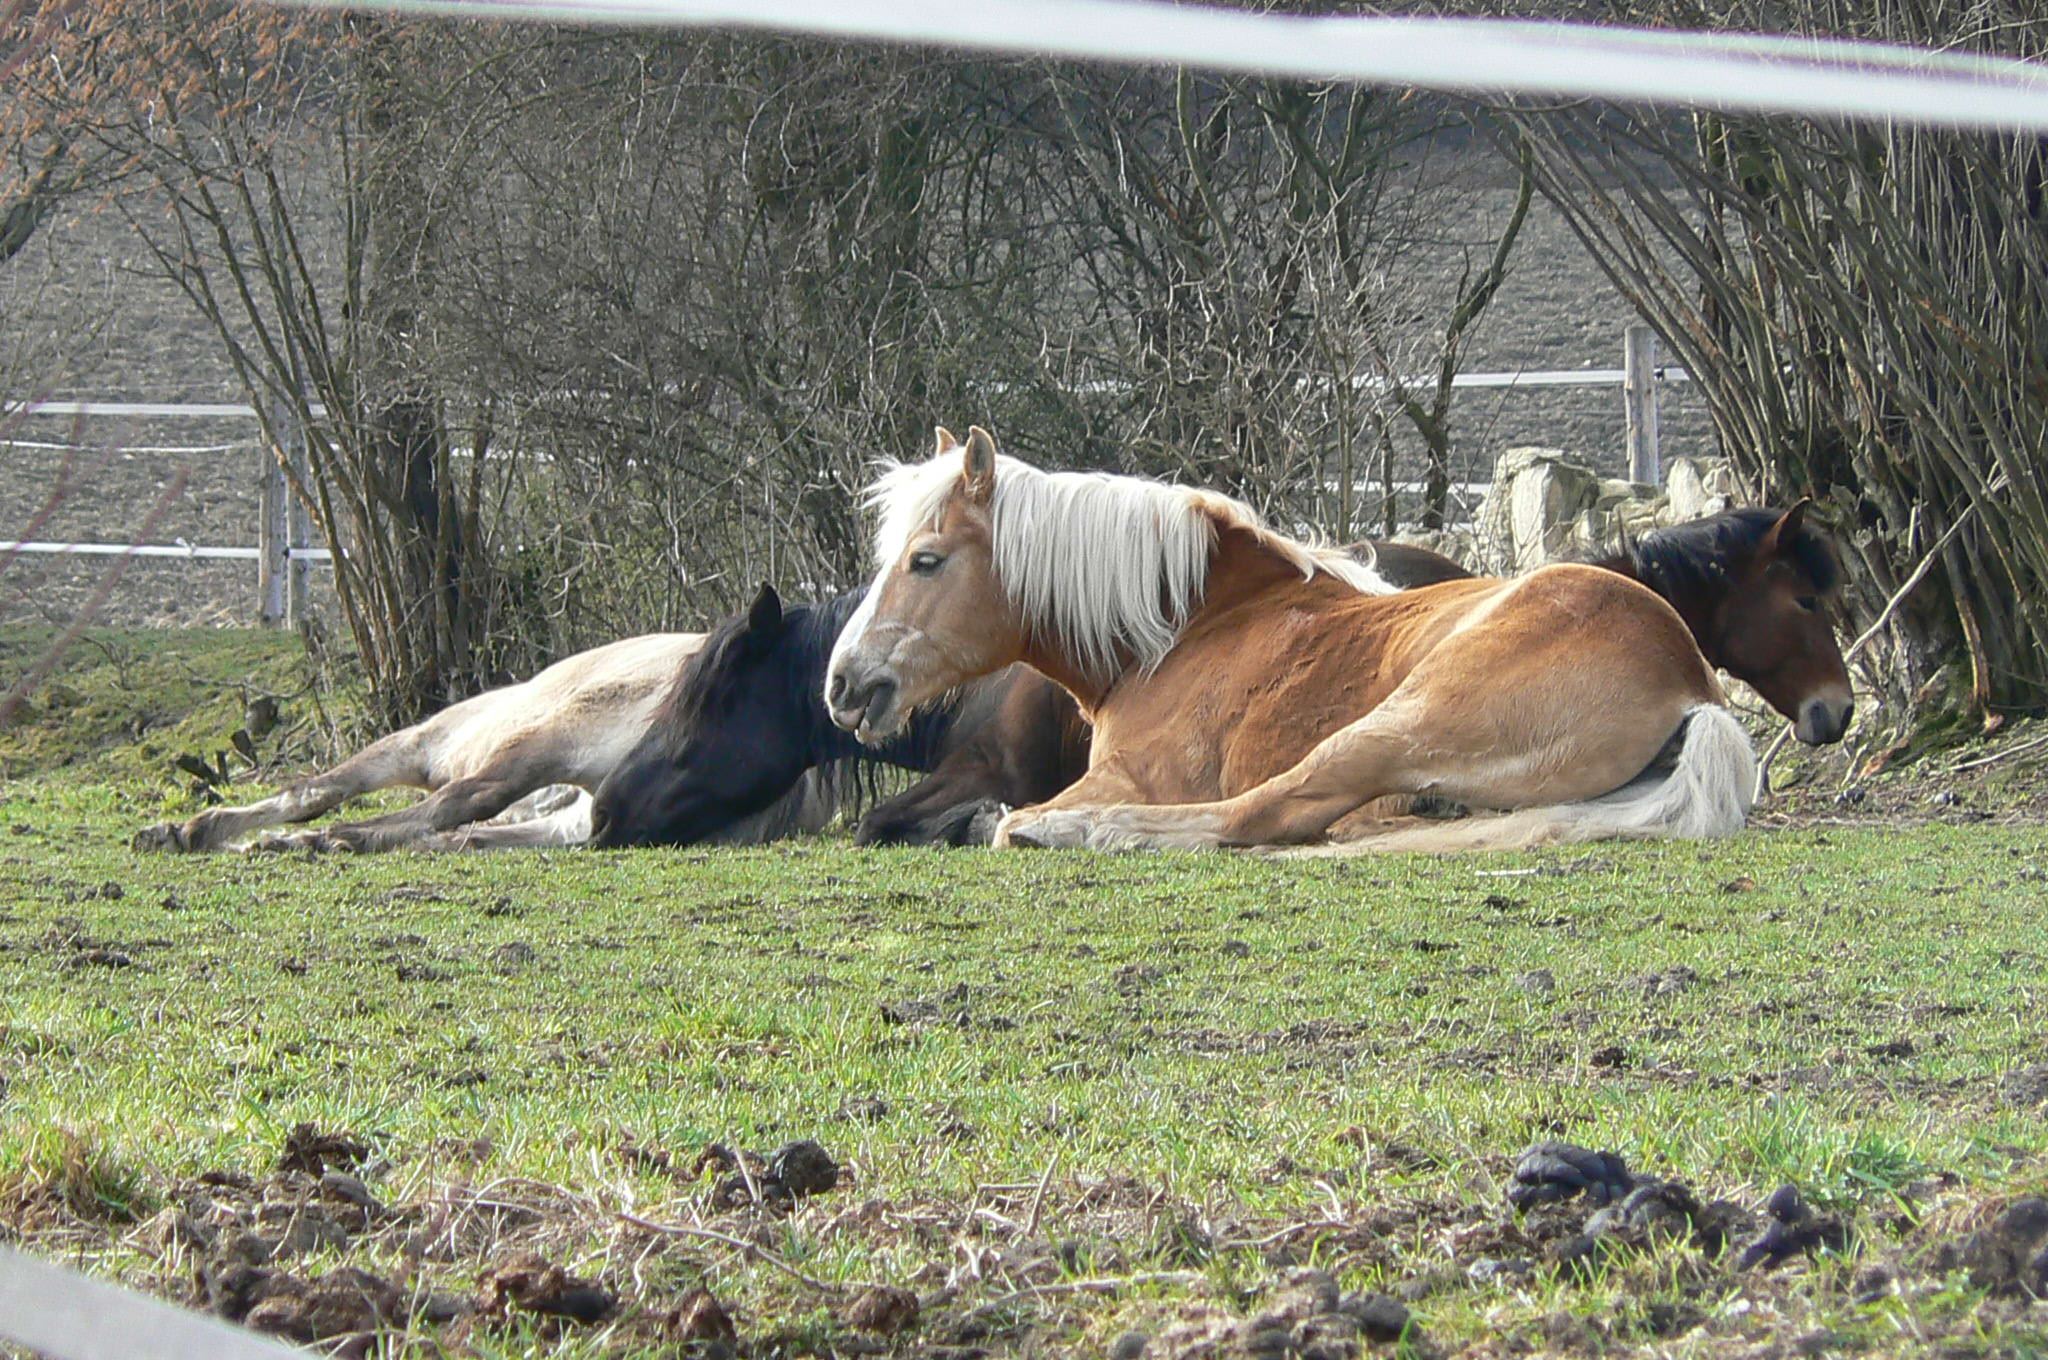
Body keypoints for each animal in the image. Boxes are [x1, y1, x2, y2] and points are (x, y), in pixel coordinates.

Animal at [125, 630, 831, 852]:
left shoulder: (569, 813)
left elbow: (460, 826)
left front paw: (329, 841)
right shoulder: (543, 752)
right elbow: (455, 809)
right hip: (439, 745)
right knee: (319, 791)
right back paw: (202, 831)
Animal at [823, 426, 1753, 852]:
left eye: (926, 559)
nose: (843, 684)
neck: (1184, 628)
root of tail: (1691, 685)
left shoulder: (1124, 774)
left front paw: (1024, 822)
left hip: (1400, 722)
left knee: (1264, 812)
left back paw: (1094, 831)